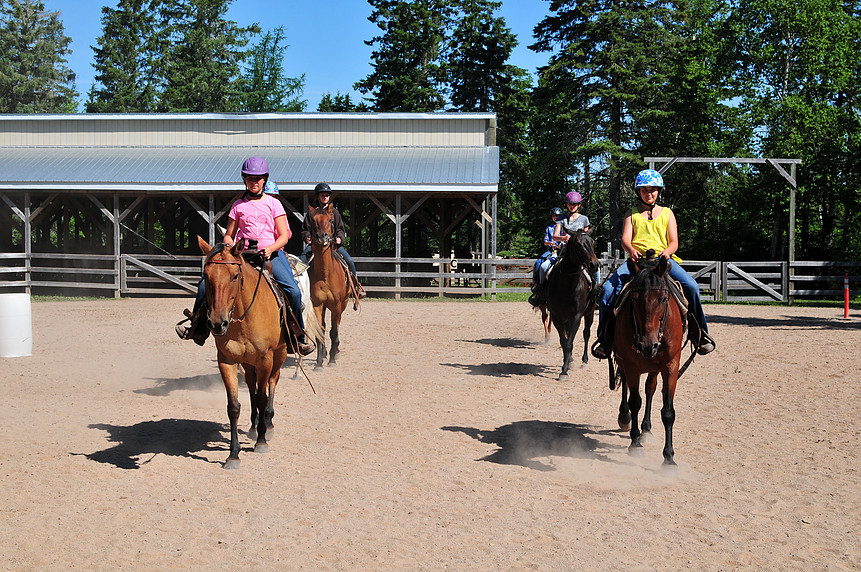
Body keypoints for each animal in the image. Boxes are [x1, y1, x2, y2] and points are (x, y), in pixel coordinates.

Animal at [308, 203, 352, 368]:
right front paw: (319, 361)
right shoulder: (318, 304)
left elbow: (334, 331)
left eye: (330, 220)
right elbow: (320, 331)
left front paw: (332, 359)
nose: (322, 236)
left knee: (337, 325)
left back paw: (336, 351)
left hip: (342, 305)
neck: (326, 275)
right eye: (313, 221)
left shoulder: (337, 305)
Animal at [544, 228, 596, 380]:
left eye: (592, 242)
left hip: (590, 313)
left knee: (586, 334)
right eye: (578, 243)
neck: (567, 285)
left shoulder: (576, 316)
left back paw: (584, 361)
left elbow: (569, 342)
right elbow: (564, 342)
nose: (594, 264)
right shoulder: (557, 317)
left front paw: (565, 369)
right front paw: (565, 366)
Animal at [612, 255, 684, 464]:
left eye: (663, 299)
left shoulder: (671, 366)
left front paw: (669, 457)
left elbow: (668, 412)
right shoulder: (630, 365)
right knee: (626, 386)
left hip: (654, 367)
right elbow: (635, 401)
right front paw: (635, 443)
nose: (647, 345)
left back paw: (646, 429)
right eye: (634, 300)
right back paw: (625, 418)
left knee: (650, 388)